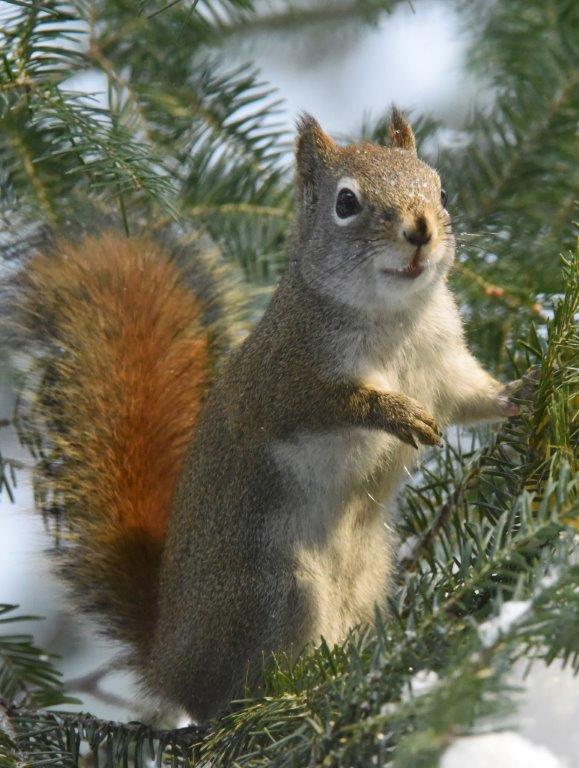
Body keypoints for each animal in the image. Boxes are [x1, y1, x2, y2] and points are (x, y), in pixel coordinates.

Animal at [5, 109, 522, 722]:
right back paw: (297, 693)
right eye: (346, 202)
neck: (396, 319)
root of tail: (171, 664)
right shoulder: (284, 381)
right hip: (278, 592)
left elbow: (475, 396)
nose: (420, 229)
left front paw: (526, 389)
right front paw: (396, 414)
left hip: (369, 576)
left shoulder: (444, 369)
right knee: (245, 693)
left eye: (441, 190)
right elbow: (338, 404)